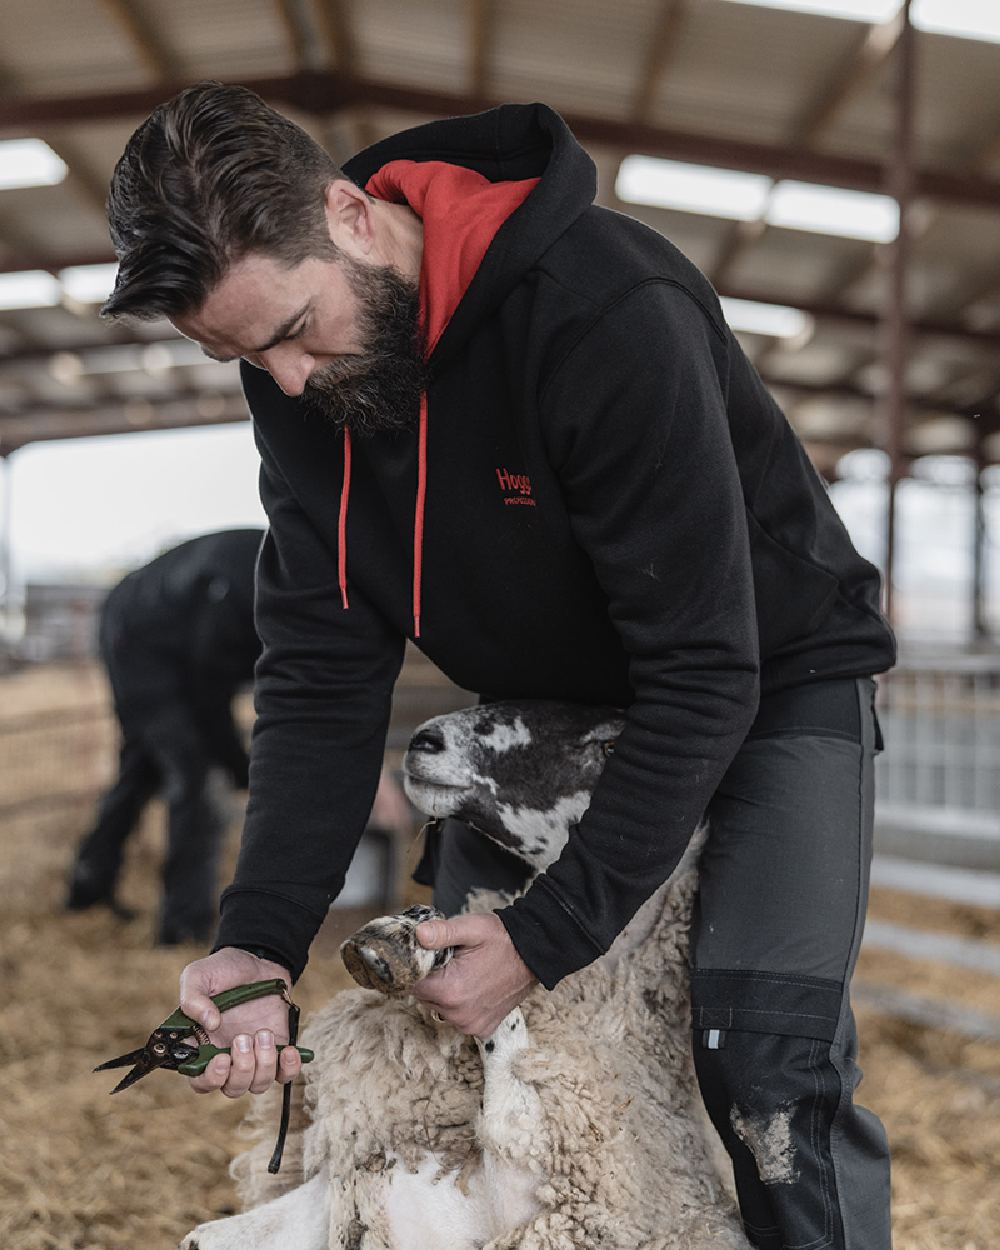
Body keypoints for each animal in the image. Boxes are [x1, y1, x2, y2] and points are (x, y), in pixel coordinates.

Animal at [180, 705, 745, 1250]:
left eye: (611, 745)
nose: (426, 740)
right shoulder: (331, 1194)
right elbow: (198, 1237)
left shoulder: (547, 1193)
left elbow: (501, 1043)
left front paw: (413, 940)